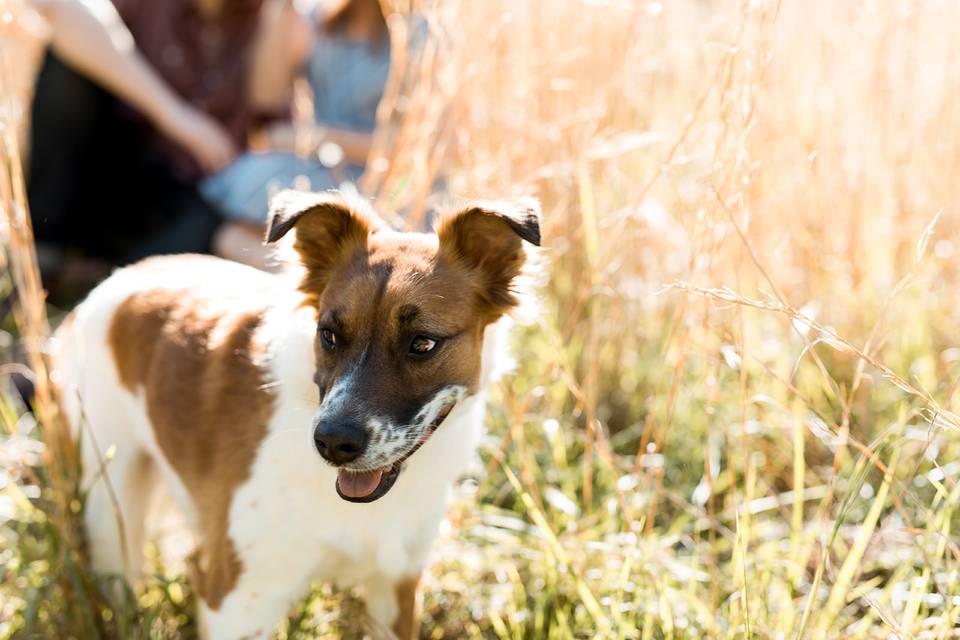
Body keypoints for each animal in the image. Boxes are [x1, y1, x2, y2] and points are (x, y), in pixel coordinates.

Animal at [52, 191, 540, 640]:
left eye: (422, 343)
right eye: (328, 334)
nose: (333, 443)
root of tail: (123, 274)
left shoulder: (396, 586)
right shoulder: (238, 602)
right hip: (111, 503)